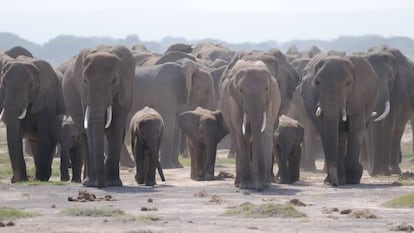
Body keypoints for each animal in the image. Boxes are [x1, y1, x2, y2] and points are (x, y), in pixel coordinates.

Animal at [0, 54, 65, 182]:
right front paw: (20, 180)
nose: (15, 180)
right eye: (4, 83)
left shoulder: (47, 98)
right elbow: (16, 134)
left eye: (31, 85)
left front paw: (39, 179)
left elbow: (44, 133)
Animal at [62, 45, 135, 187]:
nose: (100, 184)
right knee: (84, 137)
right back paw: (87, 182)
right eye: (85, 81)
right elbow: (89, 128)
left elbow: (116, 128)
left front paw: (113, 183)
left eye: (114, 81)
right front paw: (94, 183)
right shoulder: (84, 94)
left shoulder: (125, 91)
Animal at [220, 55, 282, 190]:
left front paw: (263, 184)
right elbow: (241, 133)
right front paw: (246, 185)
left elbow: (266, 132)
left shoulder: (270, 101)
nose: (260, 187)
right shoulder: (234, 102)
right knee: (236, 137)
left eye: (266, 89)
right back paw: (239, 183)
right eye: (241, 90)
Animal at [300, 53, 380, 186]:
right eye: (317, 82)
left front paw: (353, 179)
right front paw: (335, 180)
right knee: (340, 137)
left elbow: (357, 128)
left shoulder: (358, 96)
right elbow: (325, 130)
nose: (334, 184)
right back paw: (340, 179)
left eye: (348, 83)